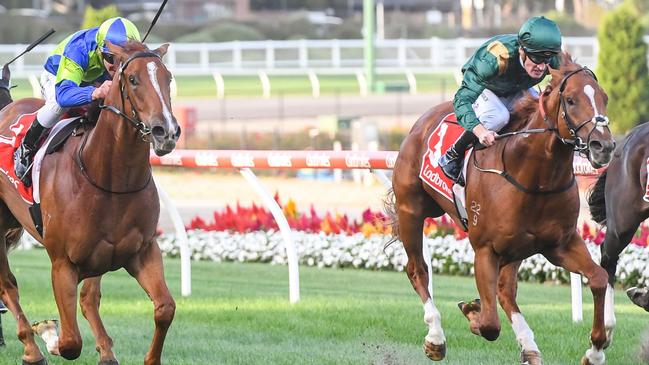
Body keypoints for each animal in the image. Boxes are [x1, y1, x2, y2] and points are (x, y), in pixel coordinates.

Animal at [0, 40, 178, 364]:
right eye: (132, 79)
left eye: (167, 78)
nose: (166, 131)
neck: (110, 179)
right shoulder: (62, 263)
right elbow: (70, 342)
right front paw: (50, 335)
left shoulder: (142, 251)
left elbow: (164, 308)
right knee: (8, 284)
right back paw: (32, 349)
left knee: (88, 298)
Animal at [388, 54, 616, 364]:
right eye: (570, 100)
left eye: (604, 97)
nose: (603, 146)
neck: (534, 176)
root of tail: (420, 123)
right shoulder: (486, 249)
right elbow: (489, 324)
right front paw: (472, 313)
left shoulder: (560, 244)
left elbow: (599, 278)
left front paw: (595, 350)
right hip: (410, 210)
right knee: (417, 269)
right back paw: (435, 337)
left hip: (516, 248)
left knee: (505, 291)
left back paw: (529, 345)